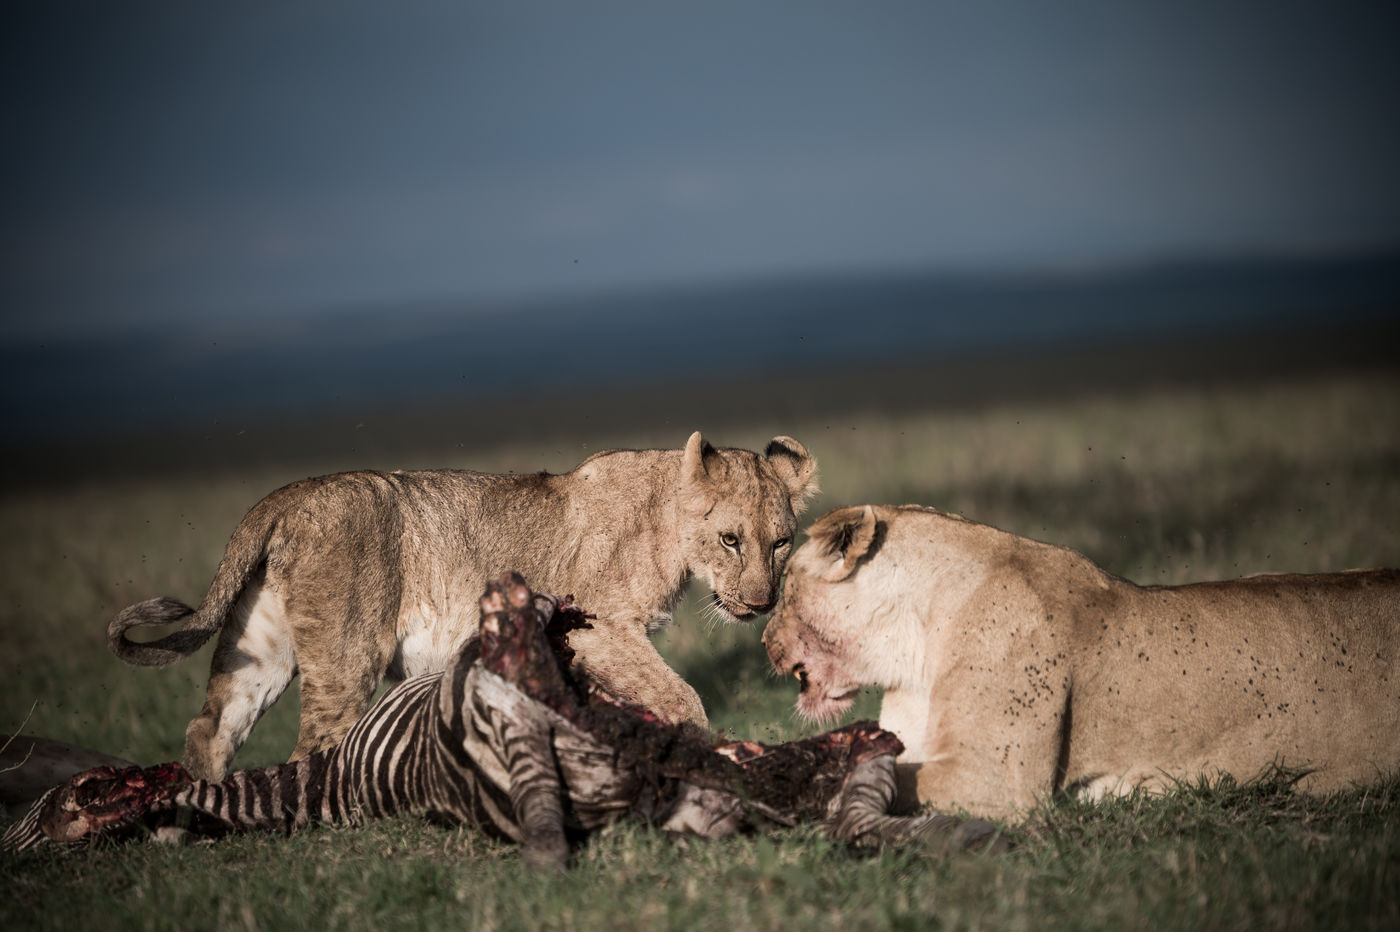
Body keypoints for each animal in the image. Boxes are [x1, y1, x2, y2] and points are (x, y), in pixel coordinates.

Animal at [110, 432, 817, 781]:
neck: (667, 517)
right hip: (348, 654)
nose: (761, 604)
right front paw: (708, 756)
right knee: (311, 749)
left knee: (209, 730)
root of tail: (288, 495)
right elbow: (681, 697)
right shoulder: (601, 626)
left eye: (781, 542)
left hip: (260, 646)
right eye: (731, 539)